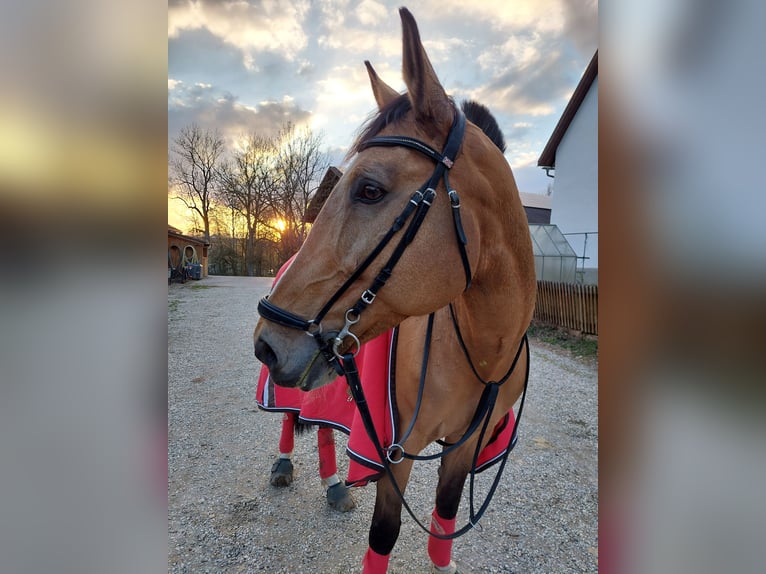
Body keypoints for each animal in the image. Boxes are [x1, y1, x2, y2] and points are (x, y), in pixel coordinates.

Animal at [253, 7, 535, 574]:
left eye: (369, 190)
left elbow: (444, 519)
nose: (265, 344)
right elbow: (383, 535)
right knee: (293, 415)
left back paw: (334, 484)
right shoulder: (392, 452)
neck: (480, 352)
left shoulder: (462, 449)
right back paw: (285, 464)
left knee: (322, 424)